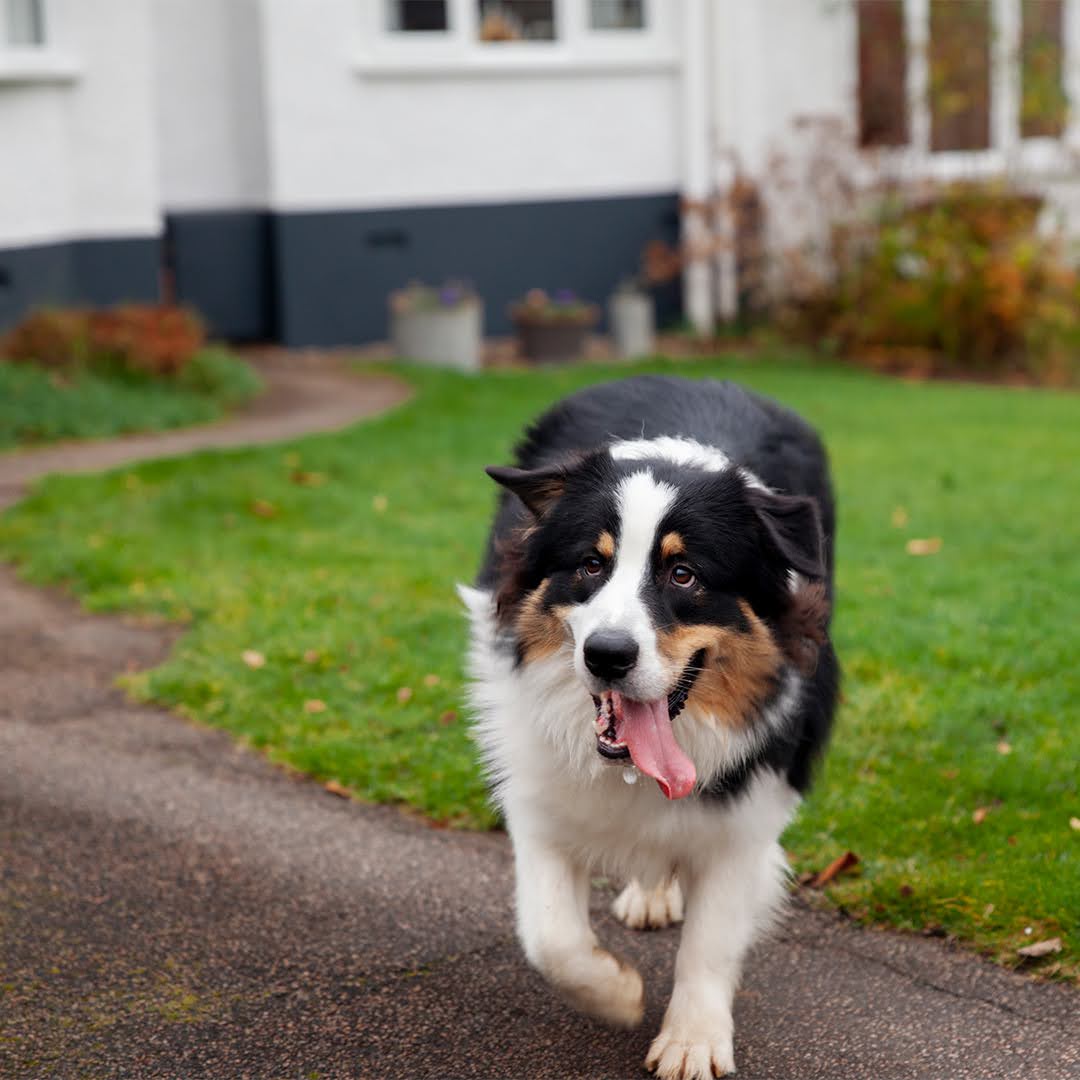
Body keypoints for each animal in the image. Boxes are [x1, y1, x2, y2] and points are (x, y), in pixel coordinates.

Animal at [460, 375, 838, 1075]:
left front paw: (692, 1039)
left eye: (683, 575)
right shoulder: (537, 790)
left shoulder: (749, 812)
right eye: (590, 565)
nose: (607, 656)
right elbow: (551, 935)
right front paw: (614, 993)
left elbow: (710, 941)